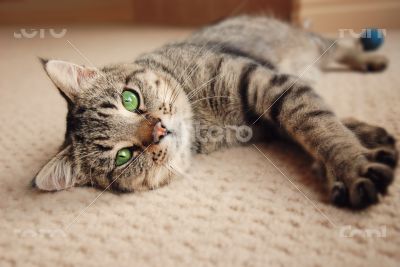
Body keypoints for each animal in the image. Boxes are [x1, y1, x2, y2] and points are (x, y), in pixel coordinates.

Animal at [33, 15, 396, 210]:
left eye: (130, 100)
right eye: (124, 156)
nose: (159, 130)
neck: (204, 121)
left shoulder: (266, 81)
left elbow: (318, 126)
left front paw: (350, 165)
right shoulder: (273, 113)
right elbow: (318, 121)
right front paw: (369, 141)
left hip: (311, 45)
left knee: (337, 45)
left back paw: (371, 58)